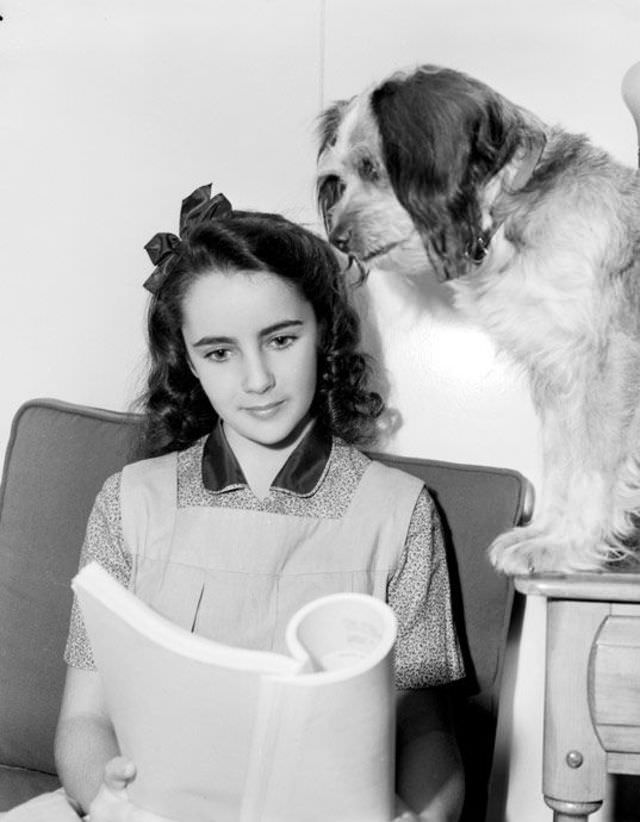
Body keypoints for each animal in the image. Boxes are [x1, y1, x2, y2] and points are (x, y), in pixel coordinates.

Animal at [318, 64, 640, 576]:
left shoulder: (608, 361)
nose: (338, 237)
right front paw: (543, 536)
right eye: (339, 177)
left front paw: (569, 546)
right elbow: (562, 462)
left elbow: (593, 465)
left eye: (372, 167)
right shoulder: (557, 375)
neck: (509, 215)